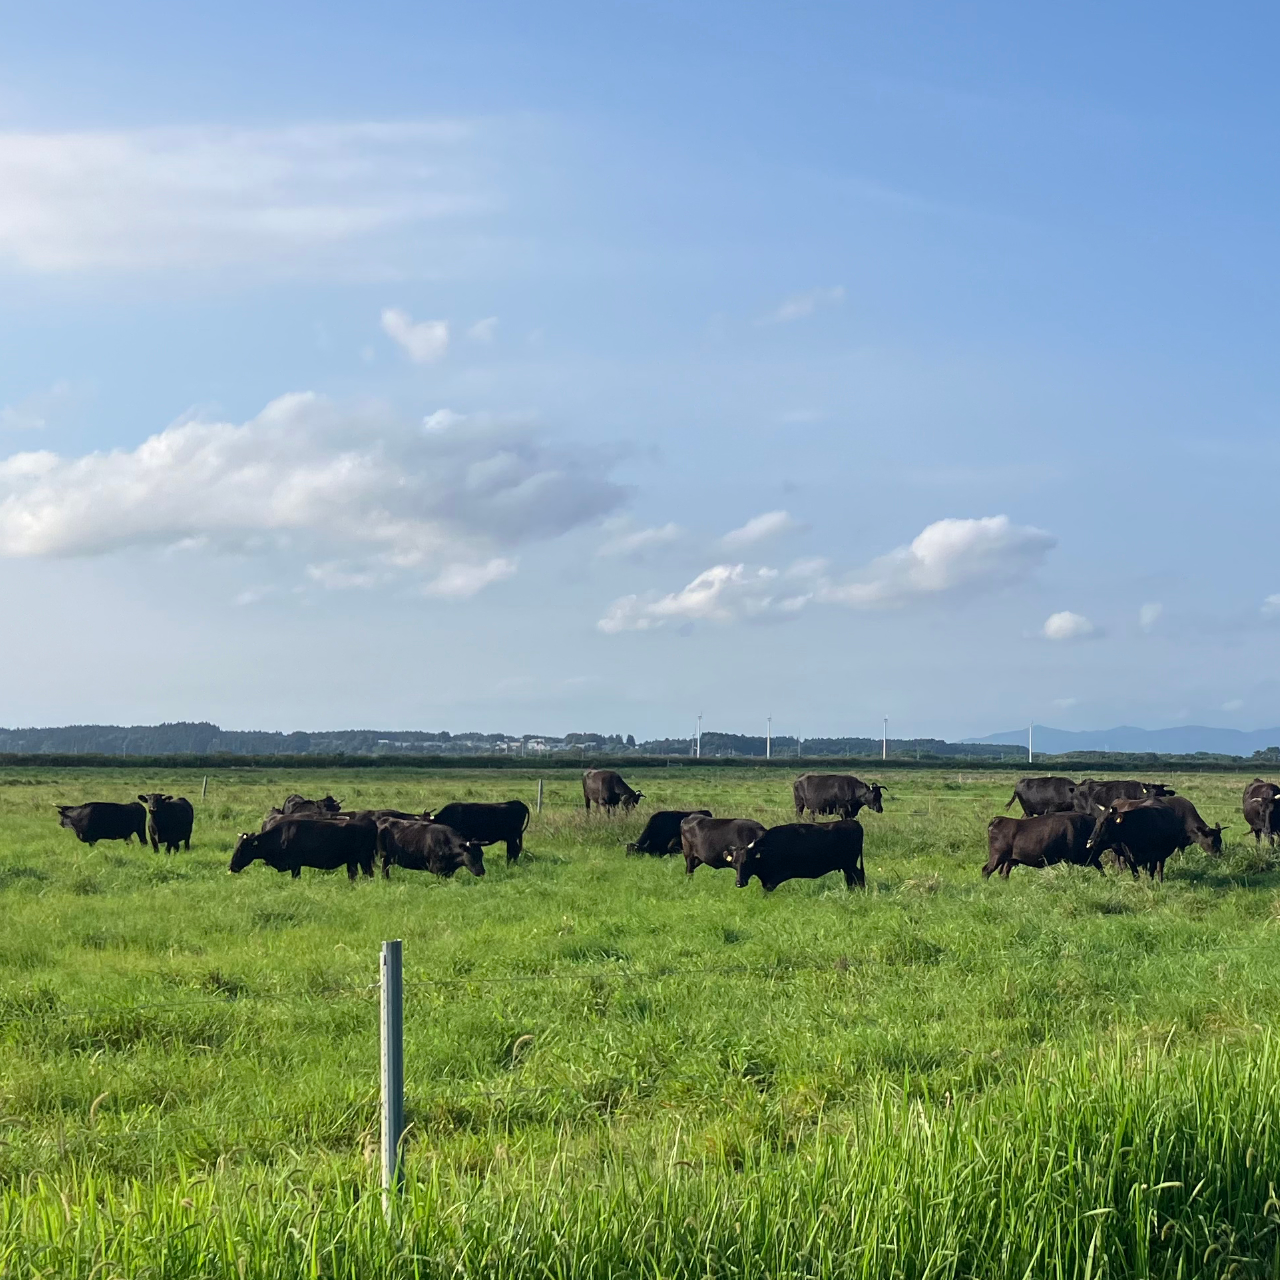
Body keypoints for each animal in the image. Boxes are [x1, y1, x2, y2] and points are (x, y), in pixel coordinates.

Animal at [230, 819, 373, 880]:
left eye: (241, 848)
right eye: (236, 846)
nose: (231, 867)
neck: (280, 836)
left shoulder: (295, 865)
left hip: (364, 860)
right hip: (353, 861)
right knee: (354, 875)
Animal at [737, 819, 865, 890]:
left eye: (746, 861)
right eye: (734, 863)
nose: (738, 883)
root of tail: (853, 822)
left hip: (850, 864)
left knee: (858, 876)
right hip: (846, 866)